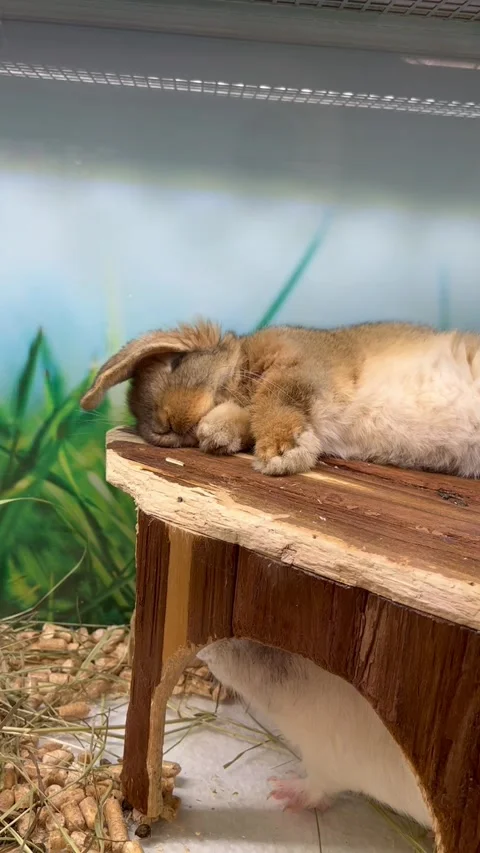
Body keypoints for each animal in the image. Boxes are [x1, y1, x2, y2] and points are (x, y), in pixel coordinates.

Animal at [81, 319, 480, 477]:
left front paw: (281, 453)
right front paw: (217, 434)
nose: (167, 425)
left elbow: (275, 400)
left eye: (176, 362)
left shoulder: (297, 366)